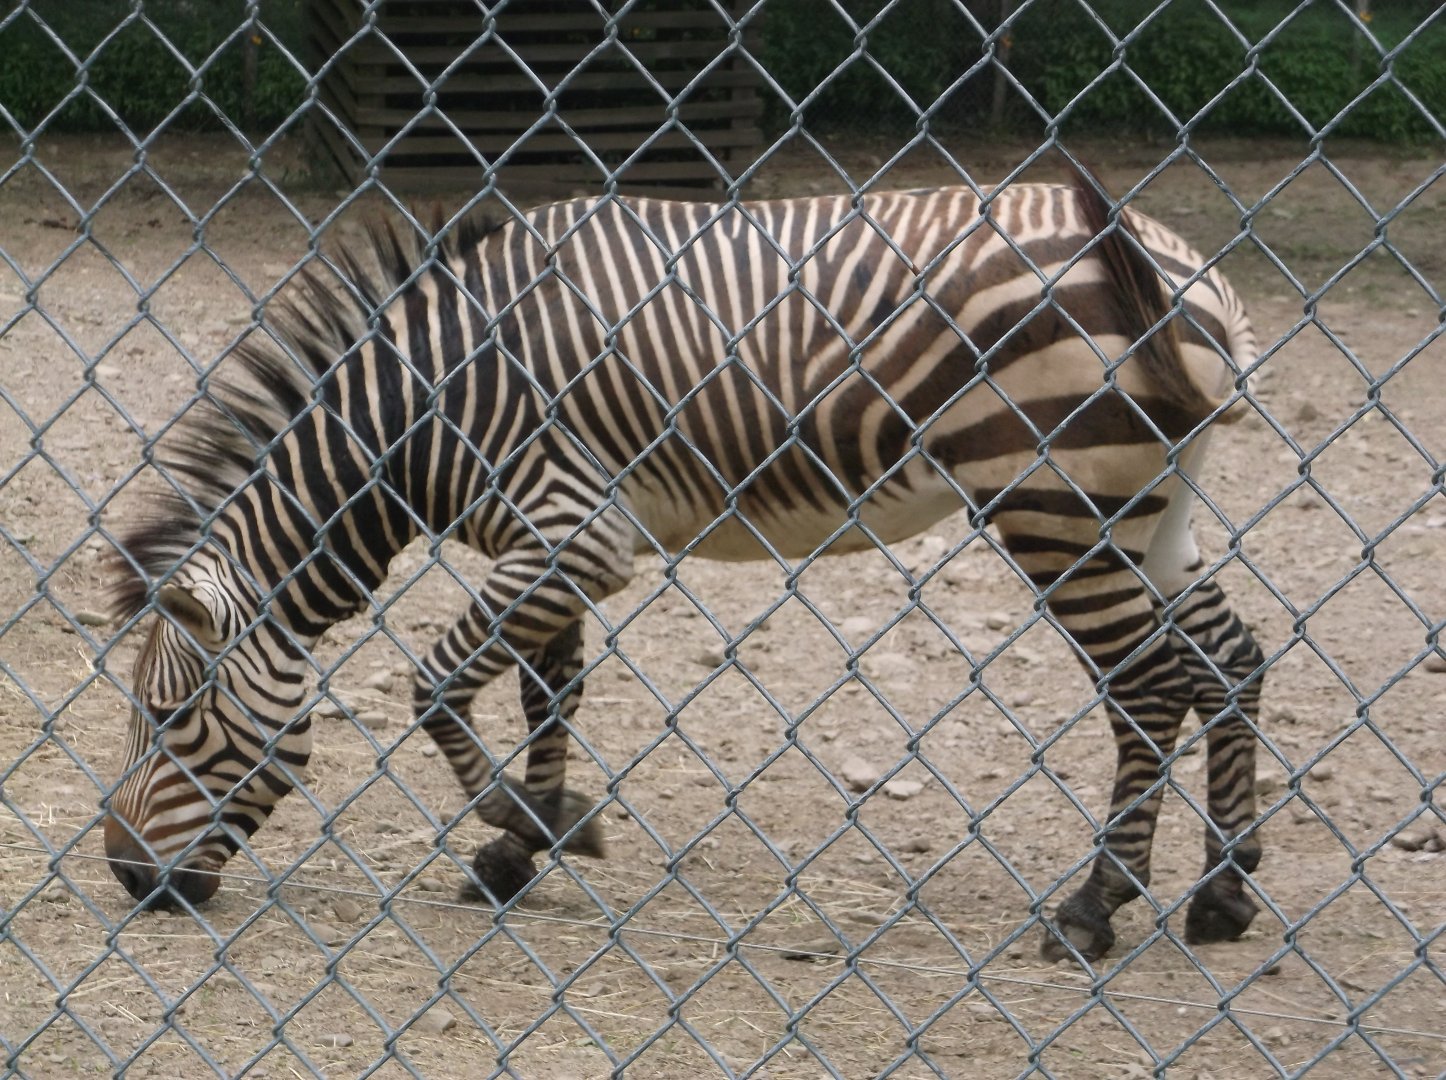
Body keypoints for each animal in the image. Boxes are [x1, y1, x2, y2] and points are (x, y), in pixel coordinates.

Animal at [105, 173, 1264, 962]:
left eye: (167, 719)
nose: (127, 879)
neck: (423, 404)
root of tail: (1182, 264)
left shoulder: (572, 531)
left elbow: (434, 685)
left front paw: (535, 825)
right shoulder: (552, 543)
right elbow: (547, 693)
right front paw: (523, 845)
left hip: (1058, 503)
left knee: (1149, 689)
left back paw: (1095, 907)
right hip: (1153, 507)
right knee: (1231, 660)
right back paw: (1223, 892)